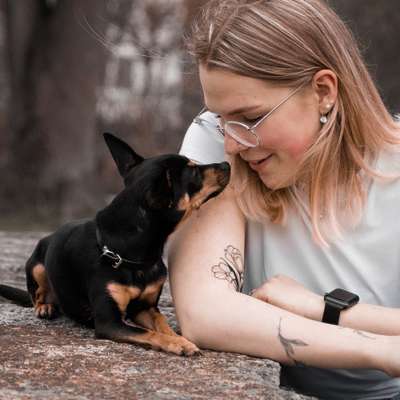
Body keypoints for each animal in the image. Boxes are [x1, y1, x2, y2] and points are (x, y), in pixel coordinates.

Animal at [0, 134, 231, 356]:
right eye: (193, 172)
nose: (227, 164)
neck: (131, 254)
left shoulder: (146, 308)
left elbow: (163, 326)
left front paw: (180, 339)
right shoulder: (109, 322)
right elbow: (149, 333)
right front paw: (178, 344)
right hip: (37, 266)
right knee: (36, 295)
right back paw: (45, 306)